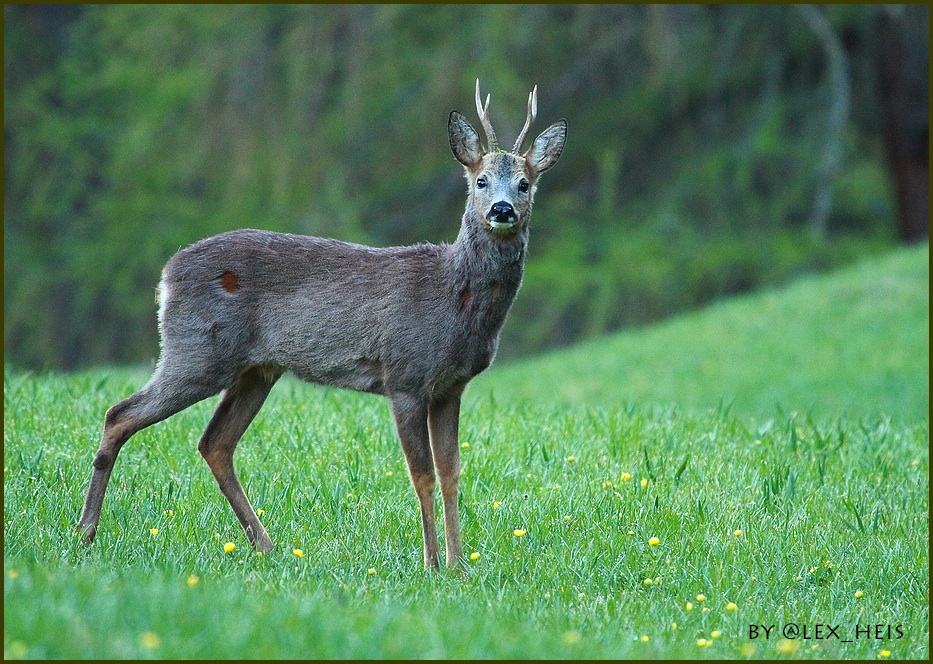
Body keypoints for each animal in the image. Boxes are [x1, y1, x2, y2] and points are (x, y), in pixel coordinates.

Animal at [76, 76, 564, 564]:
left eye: (524, 183)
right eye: (480, 180)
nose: (501, 209)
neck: (452, 299)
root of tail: (166, 275)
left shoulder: (450, 386)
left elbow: (451, 474)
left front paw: (460, 566)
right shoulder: (405, 374)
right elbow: (421, 475)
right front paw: (432, 565)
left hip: (256, 369)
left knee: (214, 442)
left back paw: (266, 546)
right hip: (197, 350)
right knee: (120, 414)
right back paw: (85, 533)